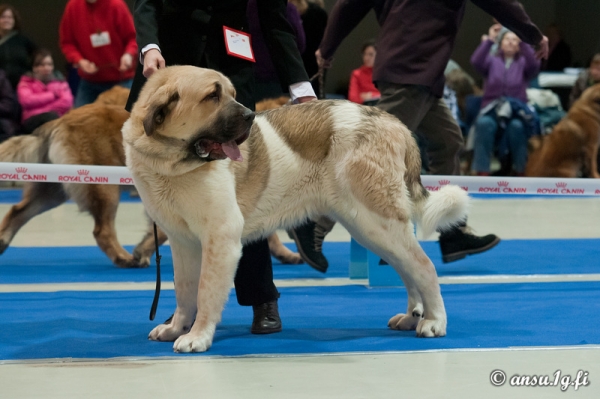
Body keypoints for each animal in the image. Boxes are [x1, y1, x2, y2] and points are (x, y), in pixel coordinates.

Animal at [122, 67, 468, 354]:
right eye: (212, 96)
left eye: (231, 93)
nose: (249, 115)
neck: (171, 163)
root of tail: (394, 123)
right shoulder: (183, 243)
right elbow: (184, 291)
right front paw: (176, 327)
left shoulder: (220, 238)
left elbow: (206, 293)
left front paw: (197, 336)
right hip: (370, 228)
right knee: (407, 268)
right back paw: (412, 316)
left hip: (376, 221)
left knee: (423, 266)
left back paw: (434, 322)